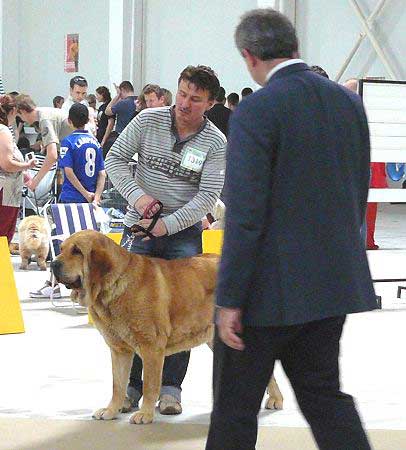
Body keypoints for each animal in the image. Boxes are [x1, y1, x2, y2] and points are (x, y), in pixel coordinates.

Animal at [52, 230, 284, 424]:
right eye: (61, 248)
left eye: (77, 251)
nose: (53, 264)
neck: (113, 285)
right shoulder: (119, 350)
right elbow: (118, 385)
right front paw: (111, 410)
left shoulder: (151, 348)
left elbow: (150, 384)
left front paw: (145, 414)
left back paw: (275, 399)